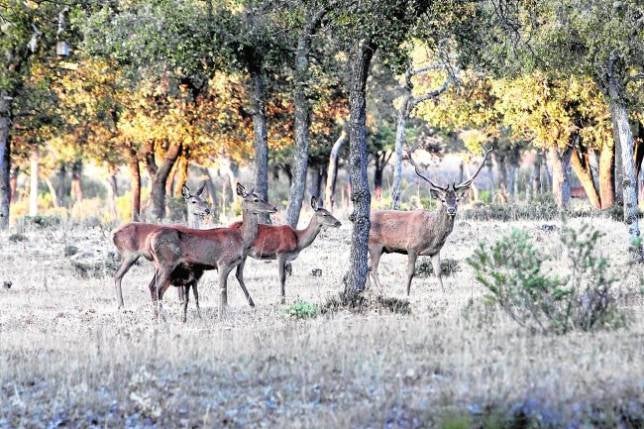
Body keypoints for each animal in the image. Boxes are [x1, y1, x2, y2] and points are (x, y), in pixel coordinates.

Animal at [146, 182, 276, 320]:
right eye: (256, 199)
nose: (274, 208)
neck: (241, 238)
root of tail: (151, 240)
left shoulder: (222, 266)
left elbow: (224, 290)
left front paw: (223, 313)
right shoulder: (222, 263)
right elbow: (222, 289)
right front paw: (220, 316)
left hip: (160, 265)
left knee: (153, 285)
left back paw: (158, 316)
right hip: (167, 263)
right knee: (157, 287)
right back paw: (161, 317)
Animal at [364, 148, 490, 294]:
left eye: (457, 200)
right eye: (443, 200)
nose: (451, 210)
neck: (432, 235)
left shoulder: (435, 251)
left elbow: (438, 272)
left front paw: (444, 293)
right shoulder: (411, 247)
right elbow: (410, 272)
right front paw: (407, 294)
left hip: (379, 248)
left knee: (367, 266)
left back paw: (368, 288)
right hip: (375, 245)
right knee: (373, 268)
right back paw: (382, 291)